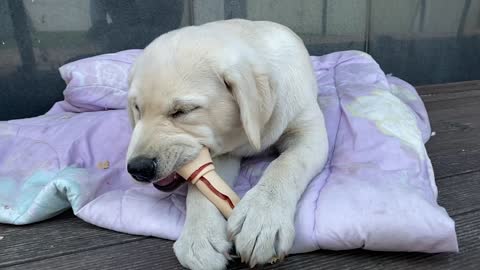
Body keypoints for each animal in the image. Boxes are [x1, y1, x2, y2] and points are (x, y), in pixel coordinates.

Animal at [125, 19, 328, 270]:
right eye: (137, 108)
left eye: (183, 111)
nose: (137, 168)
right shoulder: (222, 153)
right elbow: (201, 187)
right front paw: (200, 236)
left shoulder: (309, 131)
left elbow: (286, 164)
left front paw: (261, 217)